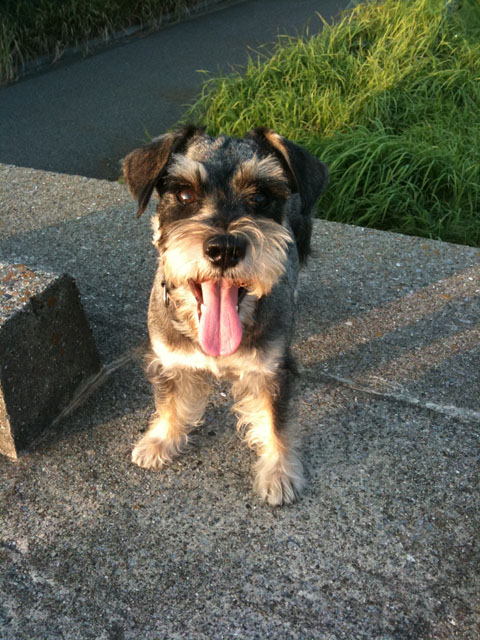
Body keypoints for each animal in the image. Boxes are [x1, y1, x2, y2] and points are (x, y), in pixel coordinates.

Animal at [123, 125, 328, 505]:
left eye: (260, 197)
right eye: (184, 194)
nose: (225, 249)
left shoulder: (271, 370)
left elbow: (275, 421)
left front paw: (279, 472)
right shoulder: (170, 361)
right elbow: (170, 403)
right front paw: (160, 441)